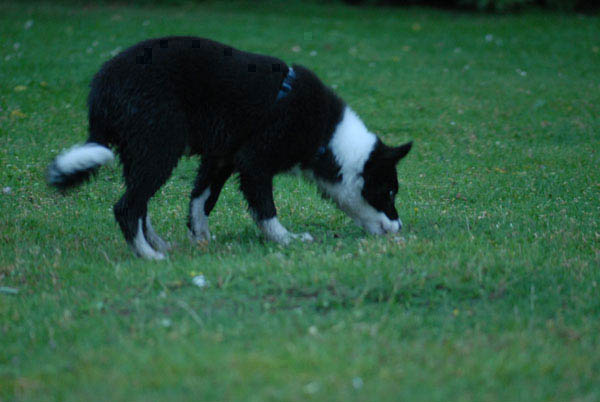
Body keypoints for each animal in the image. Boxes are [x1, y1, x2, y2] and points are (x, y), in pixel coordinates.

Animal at [48, 36, 412, 260]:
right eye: (389, 192)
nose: (399, 228)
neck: (327, 135)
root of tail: (102, 86)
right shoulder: (254, 162)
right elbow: (265, 210)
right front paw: (287, 241)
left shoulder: (221, 158)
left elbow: (201, 201)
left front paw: (200, 240)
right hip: (160, 147)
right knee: (127, 206)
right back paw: (149, 255)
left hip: (141, 153)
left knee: (141, 205)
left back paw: (158, 243)